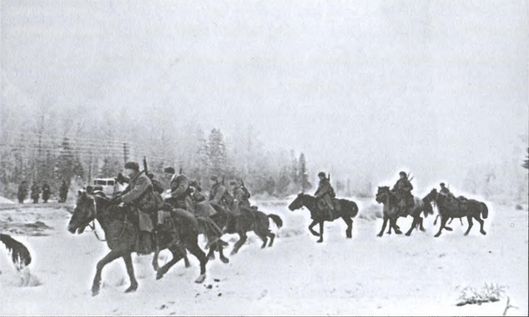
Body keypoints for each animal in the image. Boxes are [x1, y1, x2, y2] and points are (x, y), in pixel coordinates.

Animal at [69, 190, 209, 296]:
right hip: (173, 244)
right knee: (179, 256)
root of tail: (193, 216)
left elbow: (100, 263)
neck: (115, 220)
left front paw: (95, 288)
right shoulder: (125, 252)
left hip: (189, 243)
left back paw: (200, 278)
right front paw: (132, 287)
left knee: (201, 256)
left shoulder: (119, 250)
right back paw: (160, 272)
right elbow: (129, 269)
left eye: (81, 208)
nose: (70, 227)